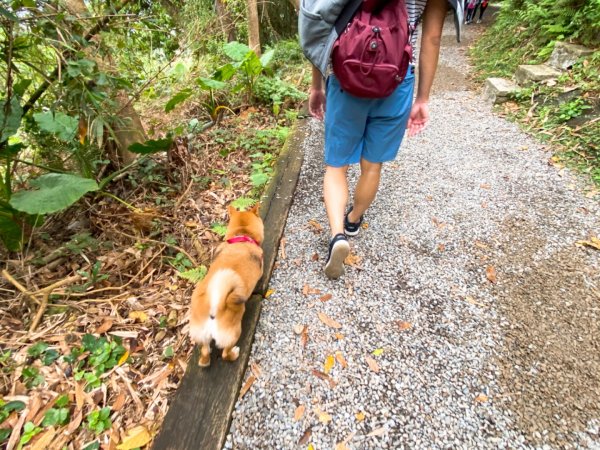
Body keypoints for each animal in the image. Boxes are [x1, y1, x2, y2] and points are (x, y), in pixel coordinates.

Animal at [188, 204, 262, 366]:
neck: (241, 237)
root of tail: (213, 306)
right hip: (233, 332)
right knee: (225, 354)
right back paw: (234, 353)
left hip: (201, 336)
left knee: (204, 356)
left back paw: (206, 356)